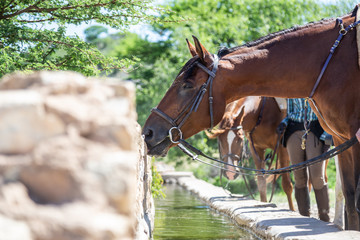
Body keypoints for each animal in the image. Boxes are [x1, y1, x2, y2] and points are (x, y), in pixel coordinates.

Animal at [143, 10, 360, 230]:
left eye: (187, 85)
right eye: (220, 141)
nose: (148, 132)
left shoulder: (290, 147)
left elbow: (289, 185)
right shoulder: (337, 140)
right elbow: (263, 182)